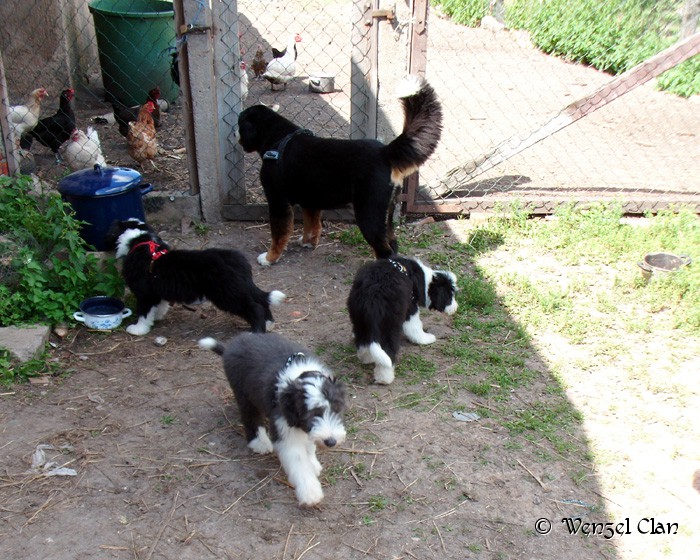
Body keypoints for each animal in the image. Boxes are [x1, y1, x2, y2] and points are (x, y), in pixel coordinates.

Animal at [105, 218, 286, 336]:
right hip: (240, 288)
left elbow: (143, 312)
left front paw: (138, 329)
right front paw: (157, 317)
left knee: (254, 307)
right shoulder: (157, 291)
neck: (139, 240)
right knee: (261, 301)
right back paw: (268, 324)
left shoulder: (145, 294)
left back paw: (256, 331)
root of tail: (239, 262)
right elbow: (160, 306)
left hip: (227, 294)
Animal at [198, 332, 346, 506]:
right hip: (243, 393)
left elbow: (309, 445)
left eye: (336, 410)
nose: (331, 441)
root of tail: (232, 345)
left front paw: (313, 463)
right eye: (312, 414)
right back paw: (259, 442)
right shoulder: (284, 428)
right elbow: (299, 463)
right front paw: (310, 492)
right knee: (250, 416)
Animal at [237, 75, 443, 266]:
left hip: (369, 216)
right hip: (386, 215)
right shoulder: (311, 200)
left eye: (239, 125)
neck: (278, 138)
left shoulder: (277, 201)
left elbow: (279, 235)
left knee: (385, 251)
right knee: (393, 245)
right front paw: (307, 242)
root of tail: (385, 151)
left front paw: (269, 258)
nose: (238, 140)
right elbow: (312, 225)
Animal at [347, 256, 458, 385]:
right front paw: (425, 339)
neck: (421, 278)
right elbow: (415, 327)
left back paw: (367, 358)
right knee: (388, 349)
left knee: (364, 341)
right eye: (450, 295)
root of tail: (372, 299)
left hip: (360, 320)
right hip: (389, 325)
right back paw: (385, 378)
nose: (456, 308)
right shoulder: (411, 307)